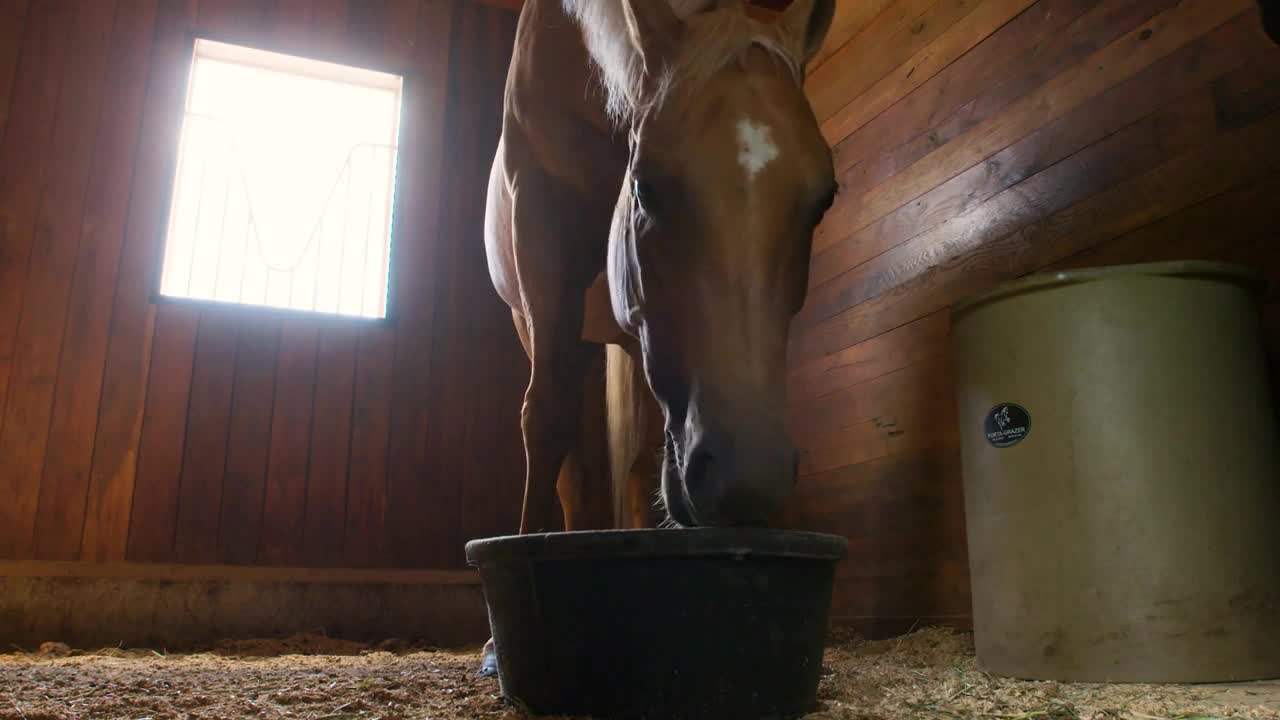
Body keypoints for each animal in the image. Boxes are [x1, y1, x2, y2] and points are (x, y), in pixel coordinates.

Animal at [481, 0, 839, 671]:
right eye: (644, 183)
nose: (743, 480)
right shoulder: (542, 229)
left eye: (824, 199)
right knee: (568, 457)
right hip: (551, 326)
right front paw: (501, 636)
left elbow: (638, 458)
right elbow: (545, 421)